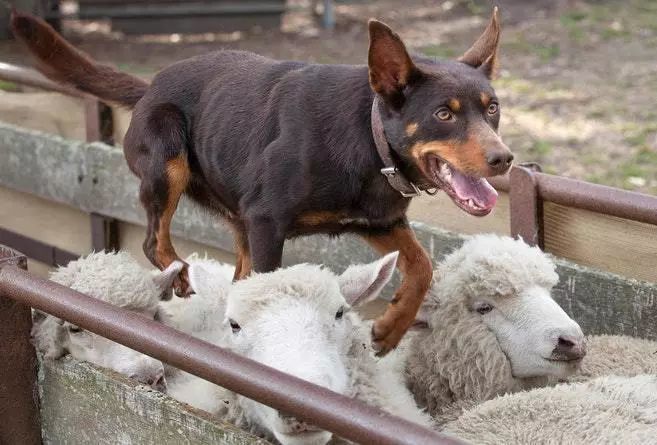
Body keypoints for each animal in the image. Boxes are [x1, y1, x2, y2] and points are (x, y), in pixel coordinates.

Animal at [11, 7, 512, 354]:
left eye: (492, 108)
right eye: (443, 114)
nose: (504, 159)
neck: (370, 142)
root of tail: (149, 86)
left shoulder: (379, 222)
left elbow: (423, 265)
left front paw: (391, 329)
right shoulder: (268, 223)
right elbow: (271, 291)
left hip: (238, 220)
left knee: (232, 274)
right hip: (168, 157)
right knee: (155, 242)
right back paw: (181, 275)